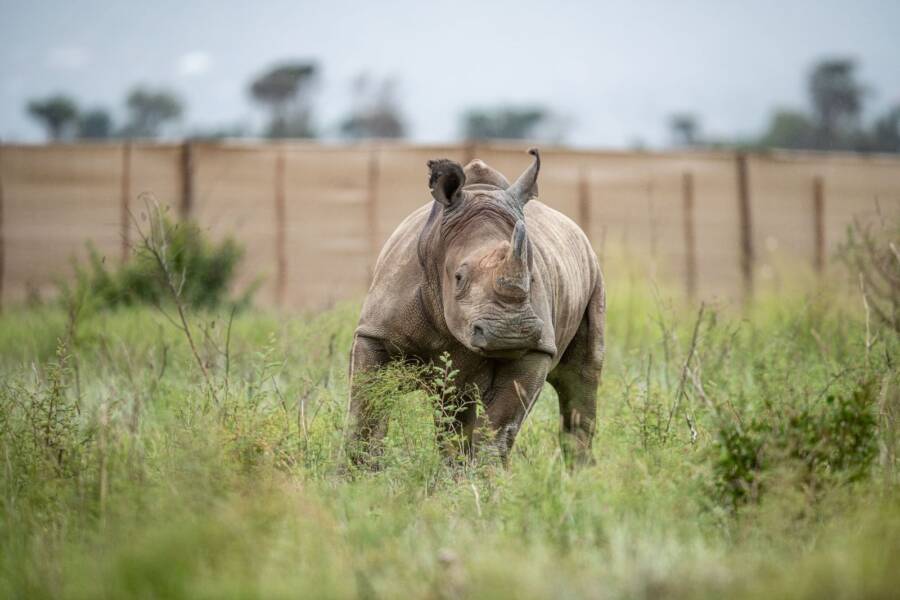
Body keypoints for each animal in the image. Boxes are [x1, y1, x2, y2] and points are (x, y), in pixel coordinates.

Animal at [349, 148, 605, 466]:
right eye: (459, 277)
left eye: (532, 278)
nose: (510, 332)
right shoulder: (376, 331)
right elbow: (366, 410)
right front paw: (357, 473)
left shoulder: (535, 348)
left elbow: (499, 428)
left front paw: (488, 476)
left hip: (593, 274)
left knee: (581, 379)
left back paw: (579, 474)